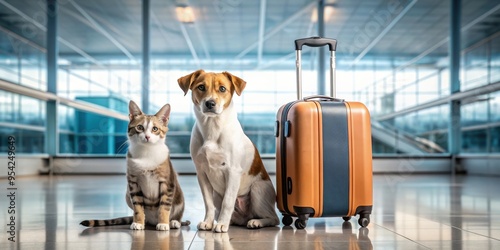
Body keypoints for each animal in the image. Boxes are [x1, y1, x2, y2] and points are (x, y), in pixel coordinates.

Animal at [80, 99, 189, 230]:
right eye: (140, 127)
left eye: (155, 129)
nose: (147, 136)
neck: (147, 152)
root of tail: (152, 221)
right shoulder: (133, 182)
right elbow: (137, 206)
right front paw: (138, 222)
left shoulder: (167, 183)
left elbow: (164, 205)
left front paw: (163, 223)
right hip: (127, 194)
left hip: (180, 197)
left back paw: (174, 222)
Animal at [178, 69, 280, 232]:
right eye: (201, 87)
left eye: (222, 89)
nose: (210, 103)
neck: (213, 128)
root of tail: (245, 218)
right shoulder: (201, 173)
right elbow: (208, 203)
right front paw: (208, 222)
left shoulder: (232, 171)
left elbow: (228, 202)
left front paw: (221, 224)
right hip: (217, 195)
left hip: (257, 189)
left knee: (274, 218)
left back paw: (255, 222)